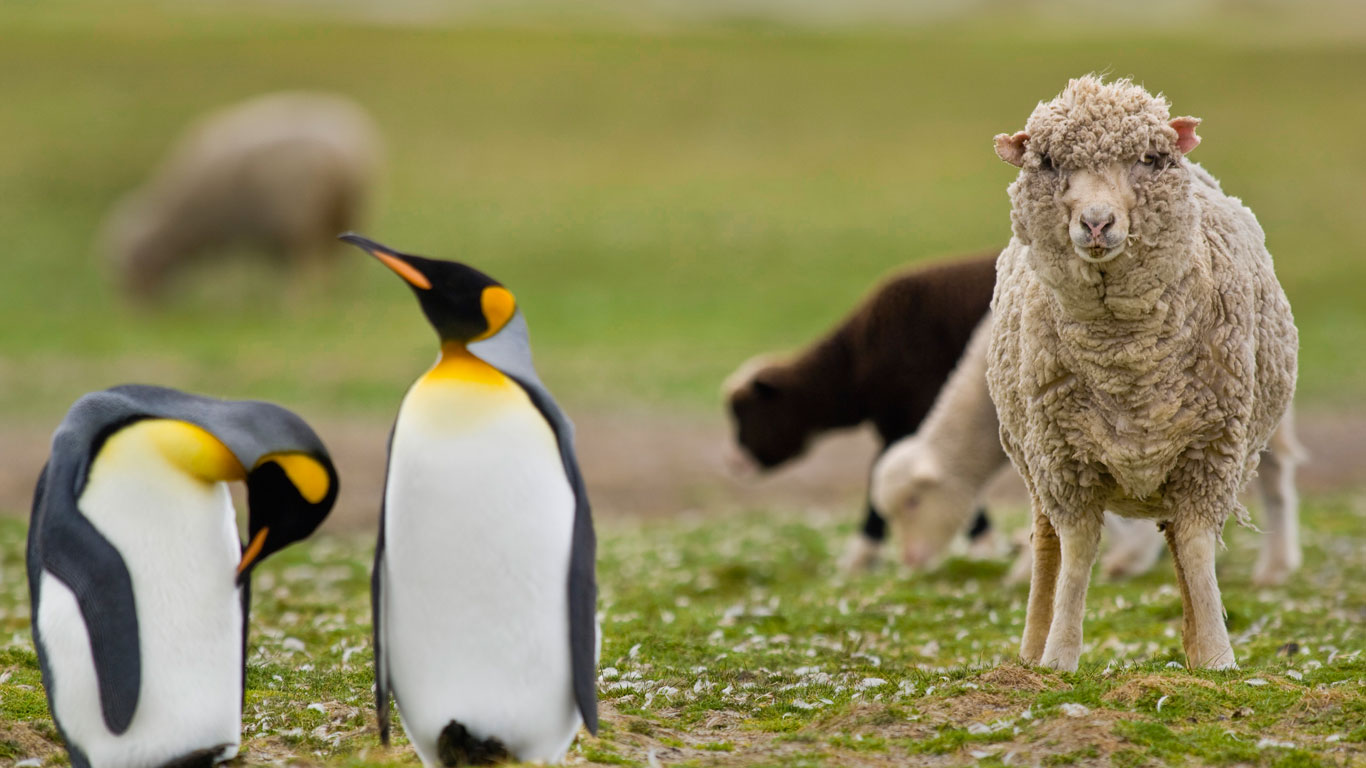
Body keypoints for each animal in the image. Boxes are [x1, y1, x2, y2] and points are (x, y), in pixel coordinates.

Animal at [100, 92, 382, 302]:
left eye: (131, 267)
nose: (136, 314)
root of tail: (337, 153)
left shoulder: (226, 230)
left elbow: (227, 272)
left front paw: (228, 299)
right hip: (342, 210)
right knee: (336, 263)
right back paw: (337, 293)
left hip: (299, 219)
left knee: (303, 265)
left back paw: (296, 303)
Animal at [986, 75, 1298, 671]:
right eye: (1048, 161)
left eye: (1150, 159)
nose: (1096, 222)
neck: (1125, 366)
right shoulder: (1064, 460)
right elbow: (1077, 551)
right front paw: (1059, 656)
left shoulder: (1211, 454)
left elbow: (1196, 548)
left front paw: (1218, 657)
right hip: (1032, 458)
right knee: (1045, 544)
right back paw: (1031, 650)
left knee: (1174, 539)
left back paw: (1193, 645)